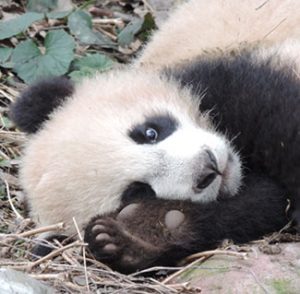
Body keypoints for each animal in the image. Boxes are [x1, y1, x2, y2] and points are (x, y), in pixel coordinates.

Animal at [9, 0, 300, 274]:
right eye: (137, 191)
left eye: (149, 132)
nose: (208, 168)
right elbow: (258, 206)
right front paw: (136, 238)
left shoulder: (231, 78)